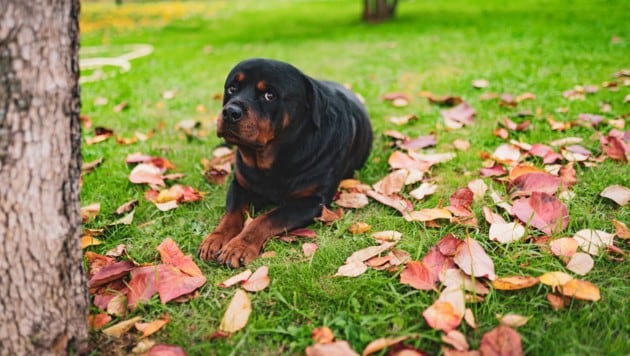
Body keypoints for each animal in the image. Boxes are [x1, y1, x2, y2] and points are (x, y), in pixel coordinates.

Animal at [200, 59, 372, 268]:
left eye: (269, 95)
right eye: (232, 88)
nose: (230, 112)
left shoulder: (312, 202)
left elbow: (266, 218)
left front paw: (239, 245)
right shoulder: (240, 186)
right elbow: (231, 214)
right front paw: (216, 238)